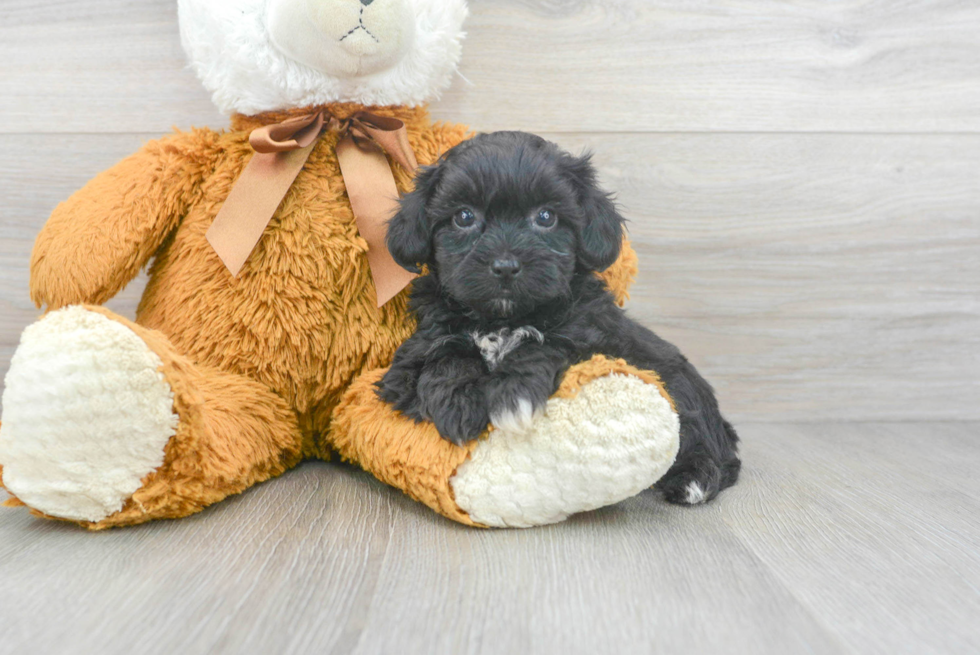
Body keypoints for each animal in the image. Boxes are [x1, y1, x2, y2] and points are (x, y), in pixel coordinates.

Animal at [378, 131, 740, 504]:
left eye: (546, 217)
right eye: (463, 217)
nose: (505, 266)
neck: (501, 319)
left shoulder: (592, 336)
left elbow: (545, 344)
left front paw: (513, 395)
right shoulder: (410, 360)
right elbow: (443, 355)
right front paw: (459, 402)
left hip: (679, 384)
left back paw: (695, 478)